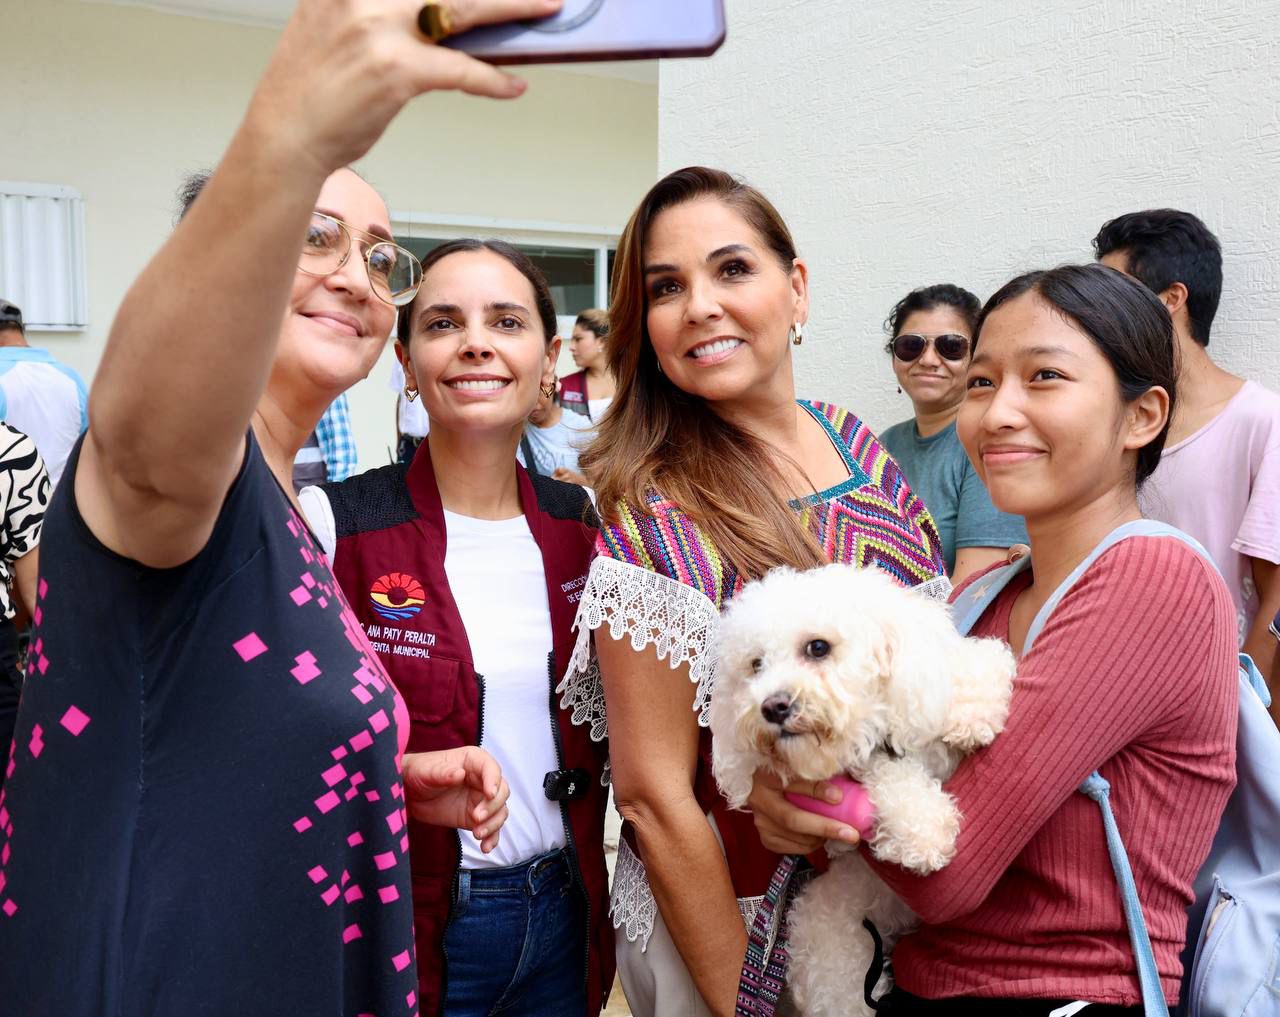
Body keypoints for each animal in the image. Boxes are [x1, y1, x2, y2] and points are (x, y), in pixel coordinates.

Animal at [716, 565, 1013, 1017]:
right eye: (756, 665)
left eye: (817, 647)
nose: (772, 706)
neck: (882, 737)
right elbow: (891, 782)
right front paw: (924, 832)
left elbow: (970, 666)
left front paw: (971, 711)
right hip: (837, 963)